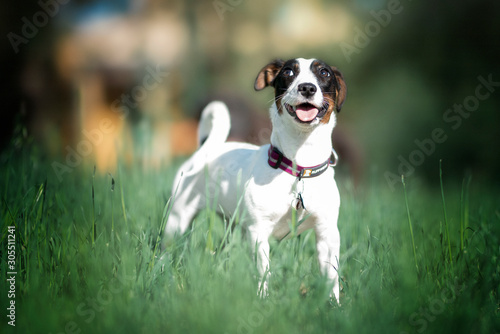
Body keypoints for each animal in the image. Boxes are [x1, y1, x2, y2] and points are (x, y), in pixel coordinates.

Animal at [164, 57, 348, 302]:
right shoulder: (258, 232)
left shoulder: (327, 233)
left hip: (234, 227)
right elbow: (263, 271)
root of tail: (207, 147)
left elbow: (331, 276)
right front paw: (263, 300)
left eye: (325, 73)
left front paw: (333, 305)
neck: (299, 168)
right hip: (178, 217)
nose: (307, 88)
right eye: (288, 72)